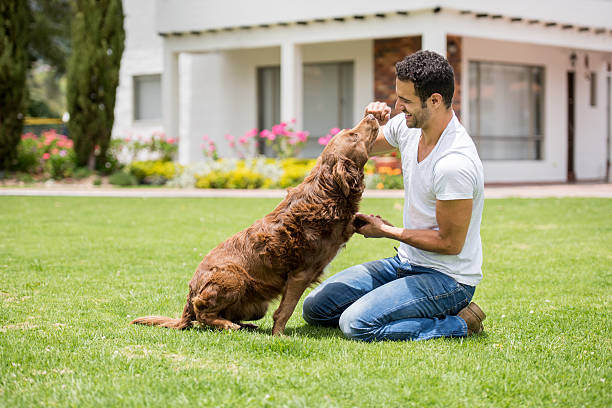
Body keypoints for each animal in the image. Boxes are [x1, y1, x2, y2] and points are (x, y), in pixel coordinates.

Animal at [130, 114, 378, 334]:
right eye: (354, 135)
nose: (372, 116)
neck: (327, 193)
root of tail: (190, 296)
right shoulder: (300, 274)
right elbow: (285, 311)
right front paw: (279, 335)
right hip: (234, 277)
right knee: (203, 313)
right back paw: (228, 326)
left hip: (255, 304)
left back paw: (243, 325)